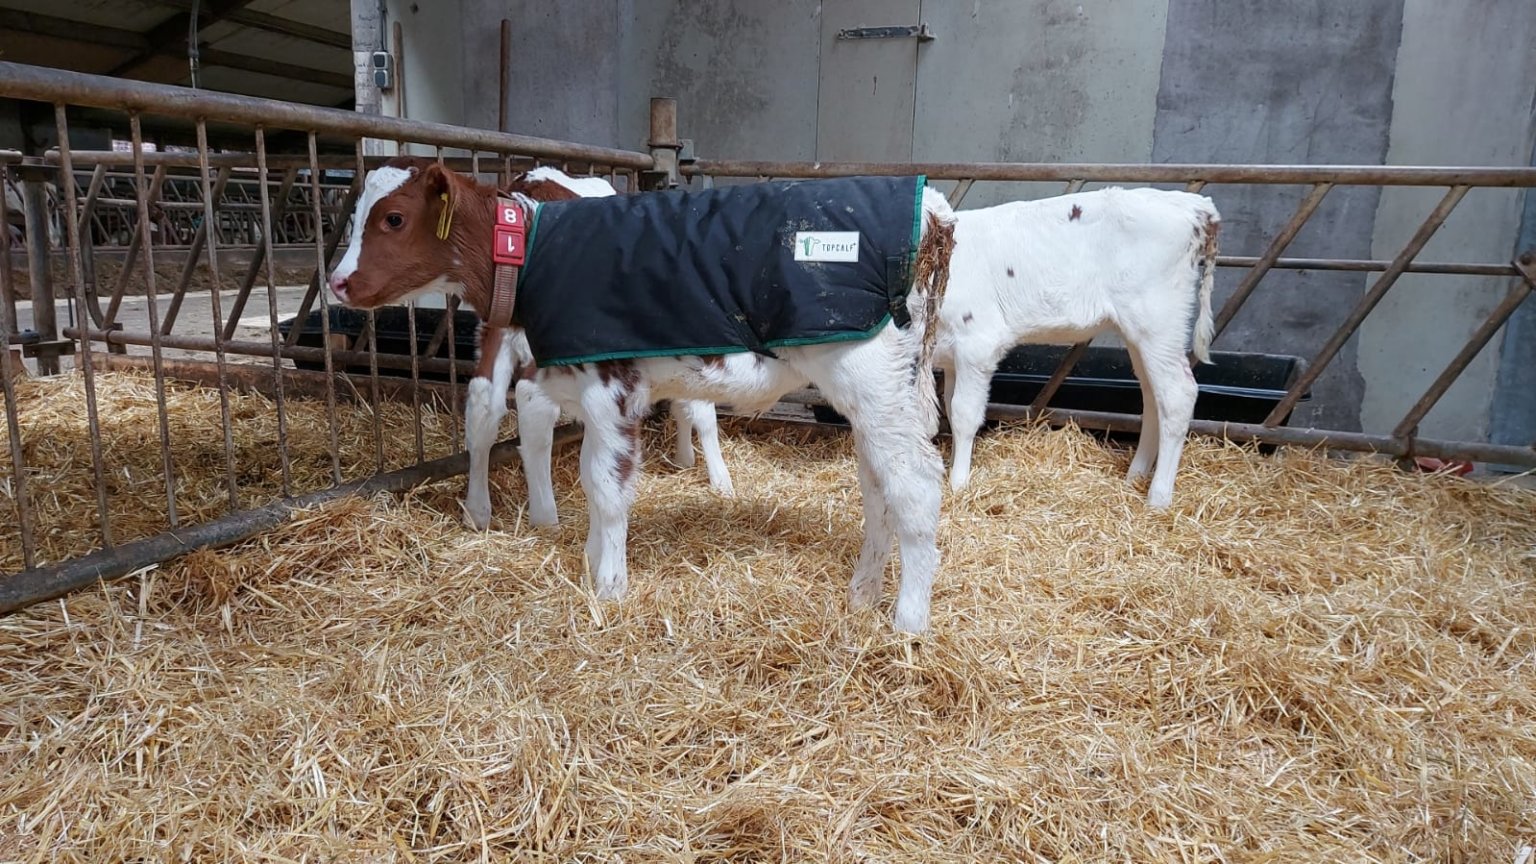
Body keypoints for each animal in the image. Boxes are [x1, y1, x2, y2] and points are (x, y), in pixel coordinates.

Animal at [328, 158, 956, 632]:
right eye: (355, 216)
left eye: (393, 218)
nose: (337, 282)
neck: (529, 251)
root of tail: (933, 210)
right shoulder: (582, 385)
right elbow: (587, 474)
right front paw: (591, 561)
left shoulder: (614, 387)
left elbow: (608, 488)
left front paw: (609, 586)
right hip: (883, 392)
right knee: (877, 485)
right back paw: (863, 593)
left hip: (870, 375)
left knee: (916, 484)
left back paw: (907, 621)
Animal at [934, 186, 1221, 509]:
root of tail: (1194, 205)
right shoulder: (951, 354)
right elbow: (949, 407)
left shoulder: (977, 343)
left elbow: (963, 414)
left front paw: (958, 484)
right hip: (1138, 333)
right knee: (1152, 396)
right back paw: (1135, 476)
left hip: (1159, 320)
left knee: (1177, 395)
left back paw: (1158, 498)